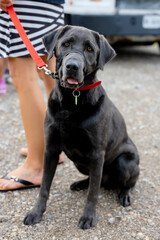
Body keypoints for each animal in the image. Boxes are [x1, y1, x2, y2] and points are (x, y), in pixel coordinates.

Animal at [23, 25, 139, 230]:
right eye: (66, 44)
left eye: (90, 49)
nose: (72, 67)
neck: (72, 101)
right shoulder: (51, 149)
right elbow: (44, 186)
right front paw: (36, 213)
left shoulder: (97, 153)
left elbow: (93, 194)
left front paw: (88, 217)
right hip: (80, 163)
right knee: (95, 179)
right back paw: (80, 183)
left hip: (125, 163)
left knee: (122, 182)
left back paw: (124, 195)